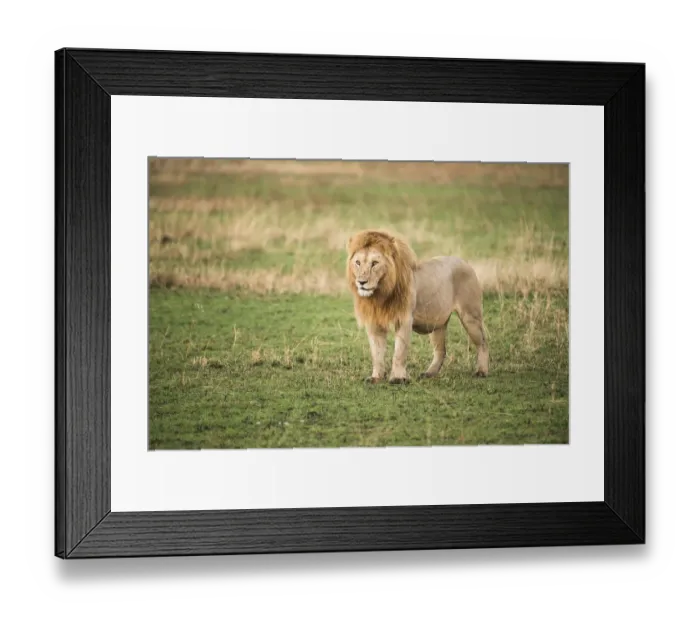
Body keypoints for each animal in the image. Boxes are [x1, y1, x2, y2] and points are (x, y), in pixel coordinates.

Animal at [346, 229, 489, 384]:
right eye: (358, 262)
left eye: (374, 263)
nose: (361, 282)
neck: (380, 294)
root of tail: (465, 262)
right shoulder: (374, 322)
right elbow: (377, 353)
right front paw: (376, 377)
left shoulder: (404, 318)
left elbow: (399, 352)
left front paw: (398, 378)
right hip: (436, 323)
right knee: (441, 350)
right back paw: (429, 373)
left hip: (470, 316)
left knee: (483, 342)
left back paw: (482, 371)